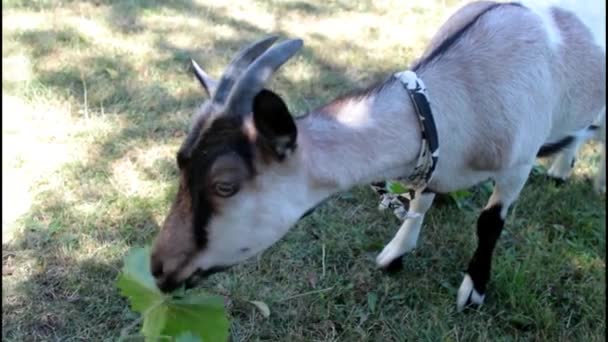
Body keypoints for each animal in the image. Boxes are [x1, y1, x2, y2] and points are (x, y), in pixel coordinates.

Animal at [150, 0, 604, 312]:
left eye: (225, 185)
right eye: (180, 163)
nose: (159, 269)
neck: (466, 91)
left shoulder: (517, 164)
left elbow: (489, 223)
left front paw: (473, 291)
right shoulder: (432, 153)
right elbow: (421, 200)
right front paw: (394, 254)